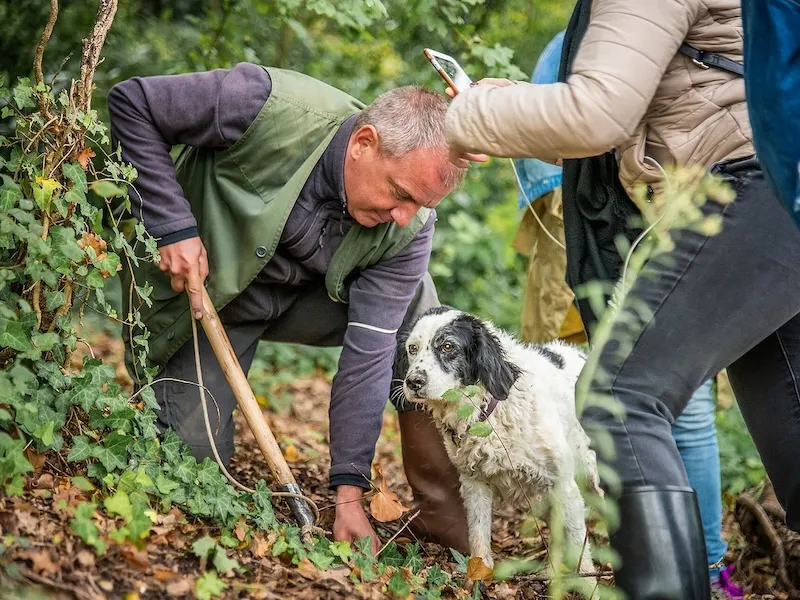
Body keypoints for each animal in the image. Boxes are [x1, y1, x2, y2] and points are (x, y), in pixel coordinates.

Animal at [394, 308, 600, 576]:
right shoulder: (474, 483)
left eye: (448, 346)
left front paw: (587, 582)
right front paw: (479, 576)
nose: (413, 382)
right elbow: (479, 536)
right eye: (413, 348)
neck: (487, 411)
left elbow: (579, 547)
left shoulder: (564, 484)